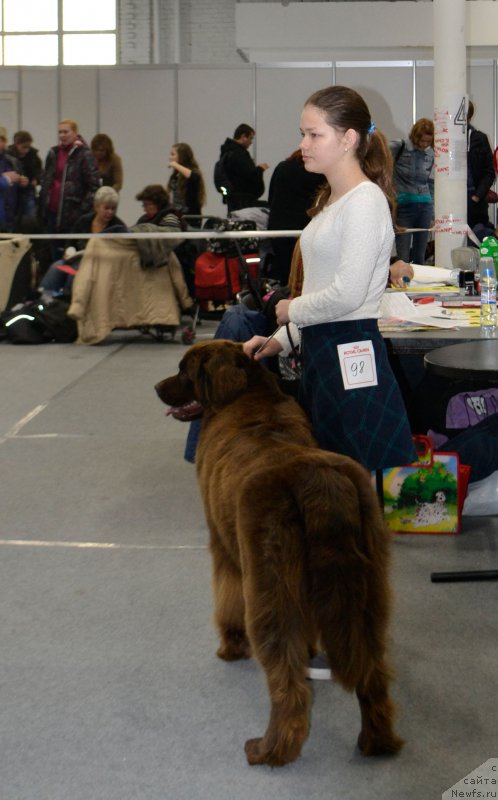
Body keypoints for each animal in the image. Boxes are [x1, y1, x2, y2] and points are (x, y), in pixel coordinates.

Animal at [156, 340, 404, 764]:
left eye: (184, 371)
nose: (157, 387)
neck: (247, 395)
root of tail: (318, 482)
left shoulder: (224, 548)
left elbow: (227, 601)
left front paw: (230, 647)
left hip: (270, 588)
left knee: (287, 681)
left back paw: (269, 750)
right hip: (370, 590)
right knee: (373, 672)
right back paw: (378, 743)